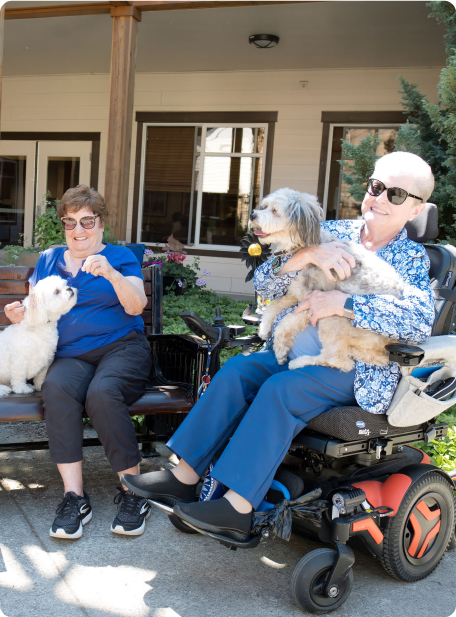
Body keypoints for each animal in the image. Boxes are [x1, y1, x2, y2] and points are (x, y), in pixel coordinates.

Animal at [251, 188, 404, 370]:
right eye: (264, 207)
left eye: (275, 211)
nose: (252, 215)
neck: (300, 246)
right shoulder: (295, 292)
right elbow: (273, 307)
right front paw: (264, 328)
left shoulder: (312, 301)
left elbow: (285, 324)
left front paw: (280, 350)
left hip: (333, 315)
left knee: (339, 361)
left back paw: (300, 362)